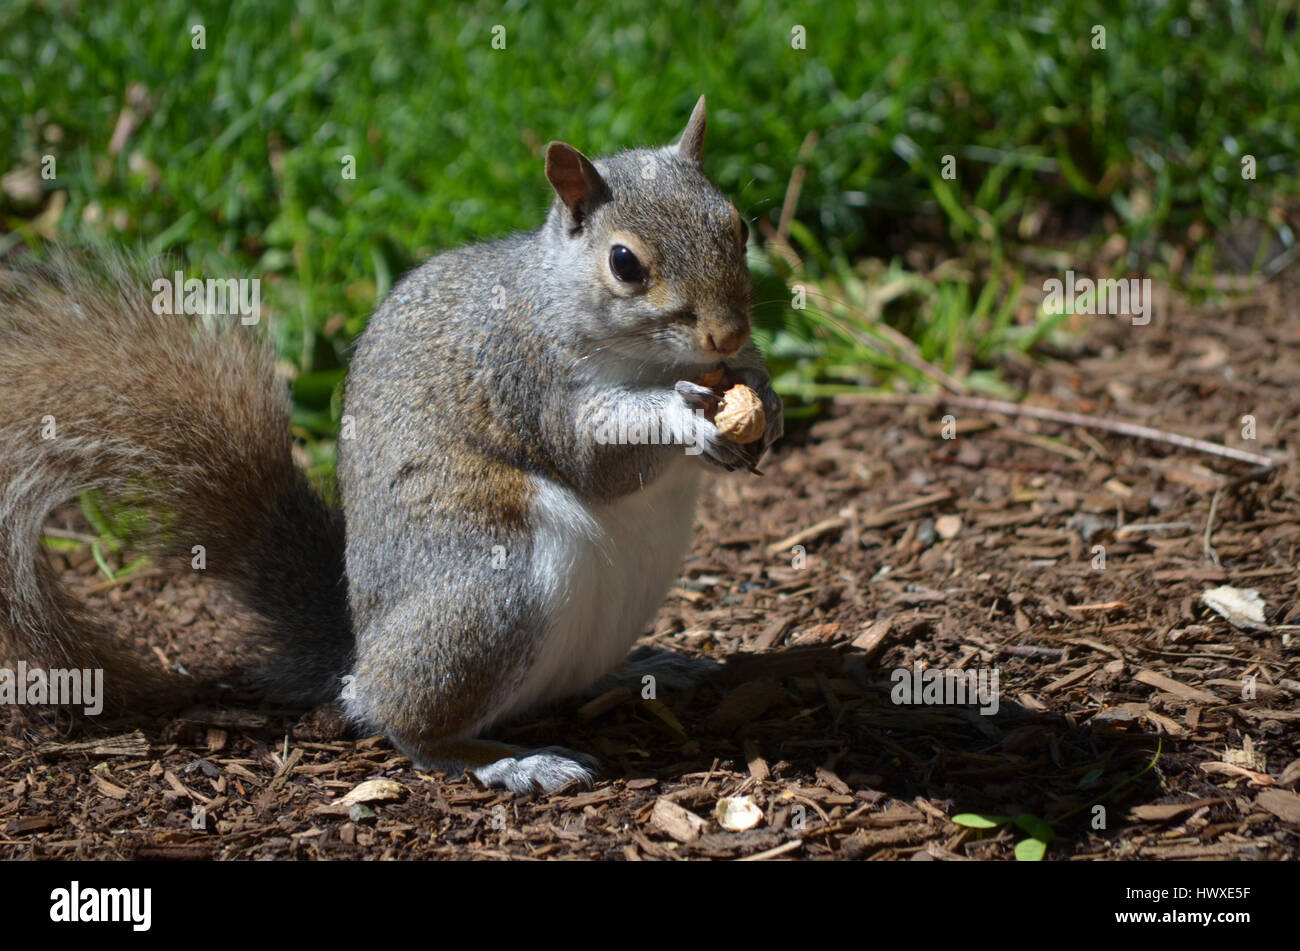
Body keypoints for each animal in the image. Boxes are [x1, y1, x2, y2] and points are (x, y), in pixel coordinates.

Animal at [0, 96, 783, 794]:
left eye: (737, 226)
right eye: (624, 263)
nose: (728, 334)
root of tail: (360, 649)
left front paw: (764, 397)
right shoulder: (522, 374)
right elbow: (591, 456)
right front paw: (682, 418)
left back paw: (648, 669)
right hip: (490, 593)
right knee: (398, 720)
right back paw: (509, 760)